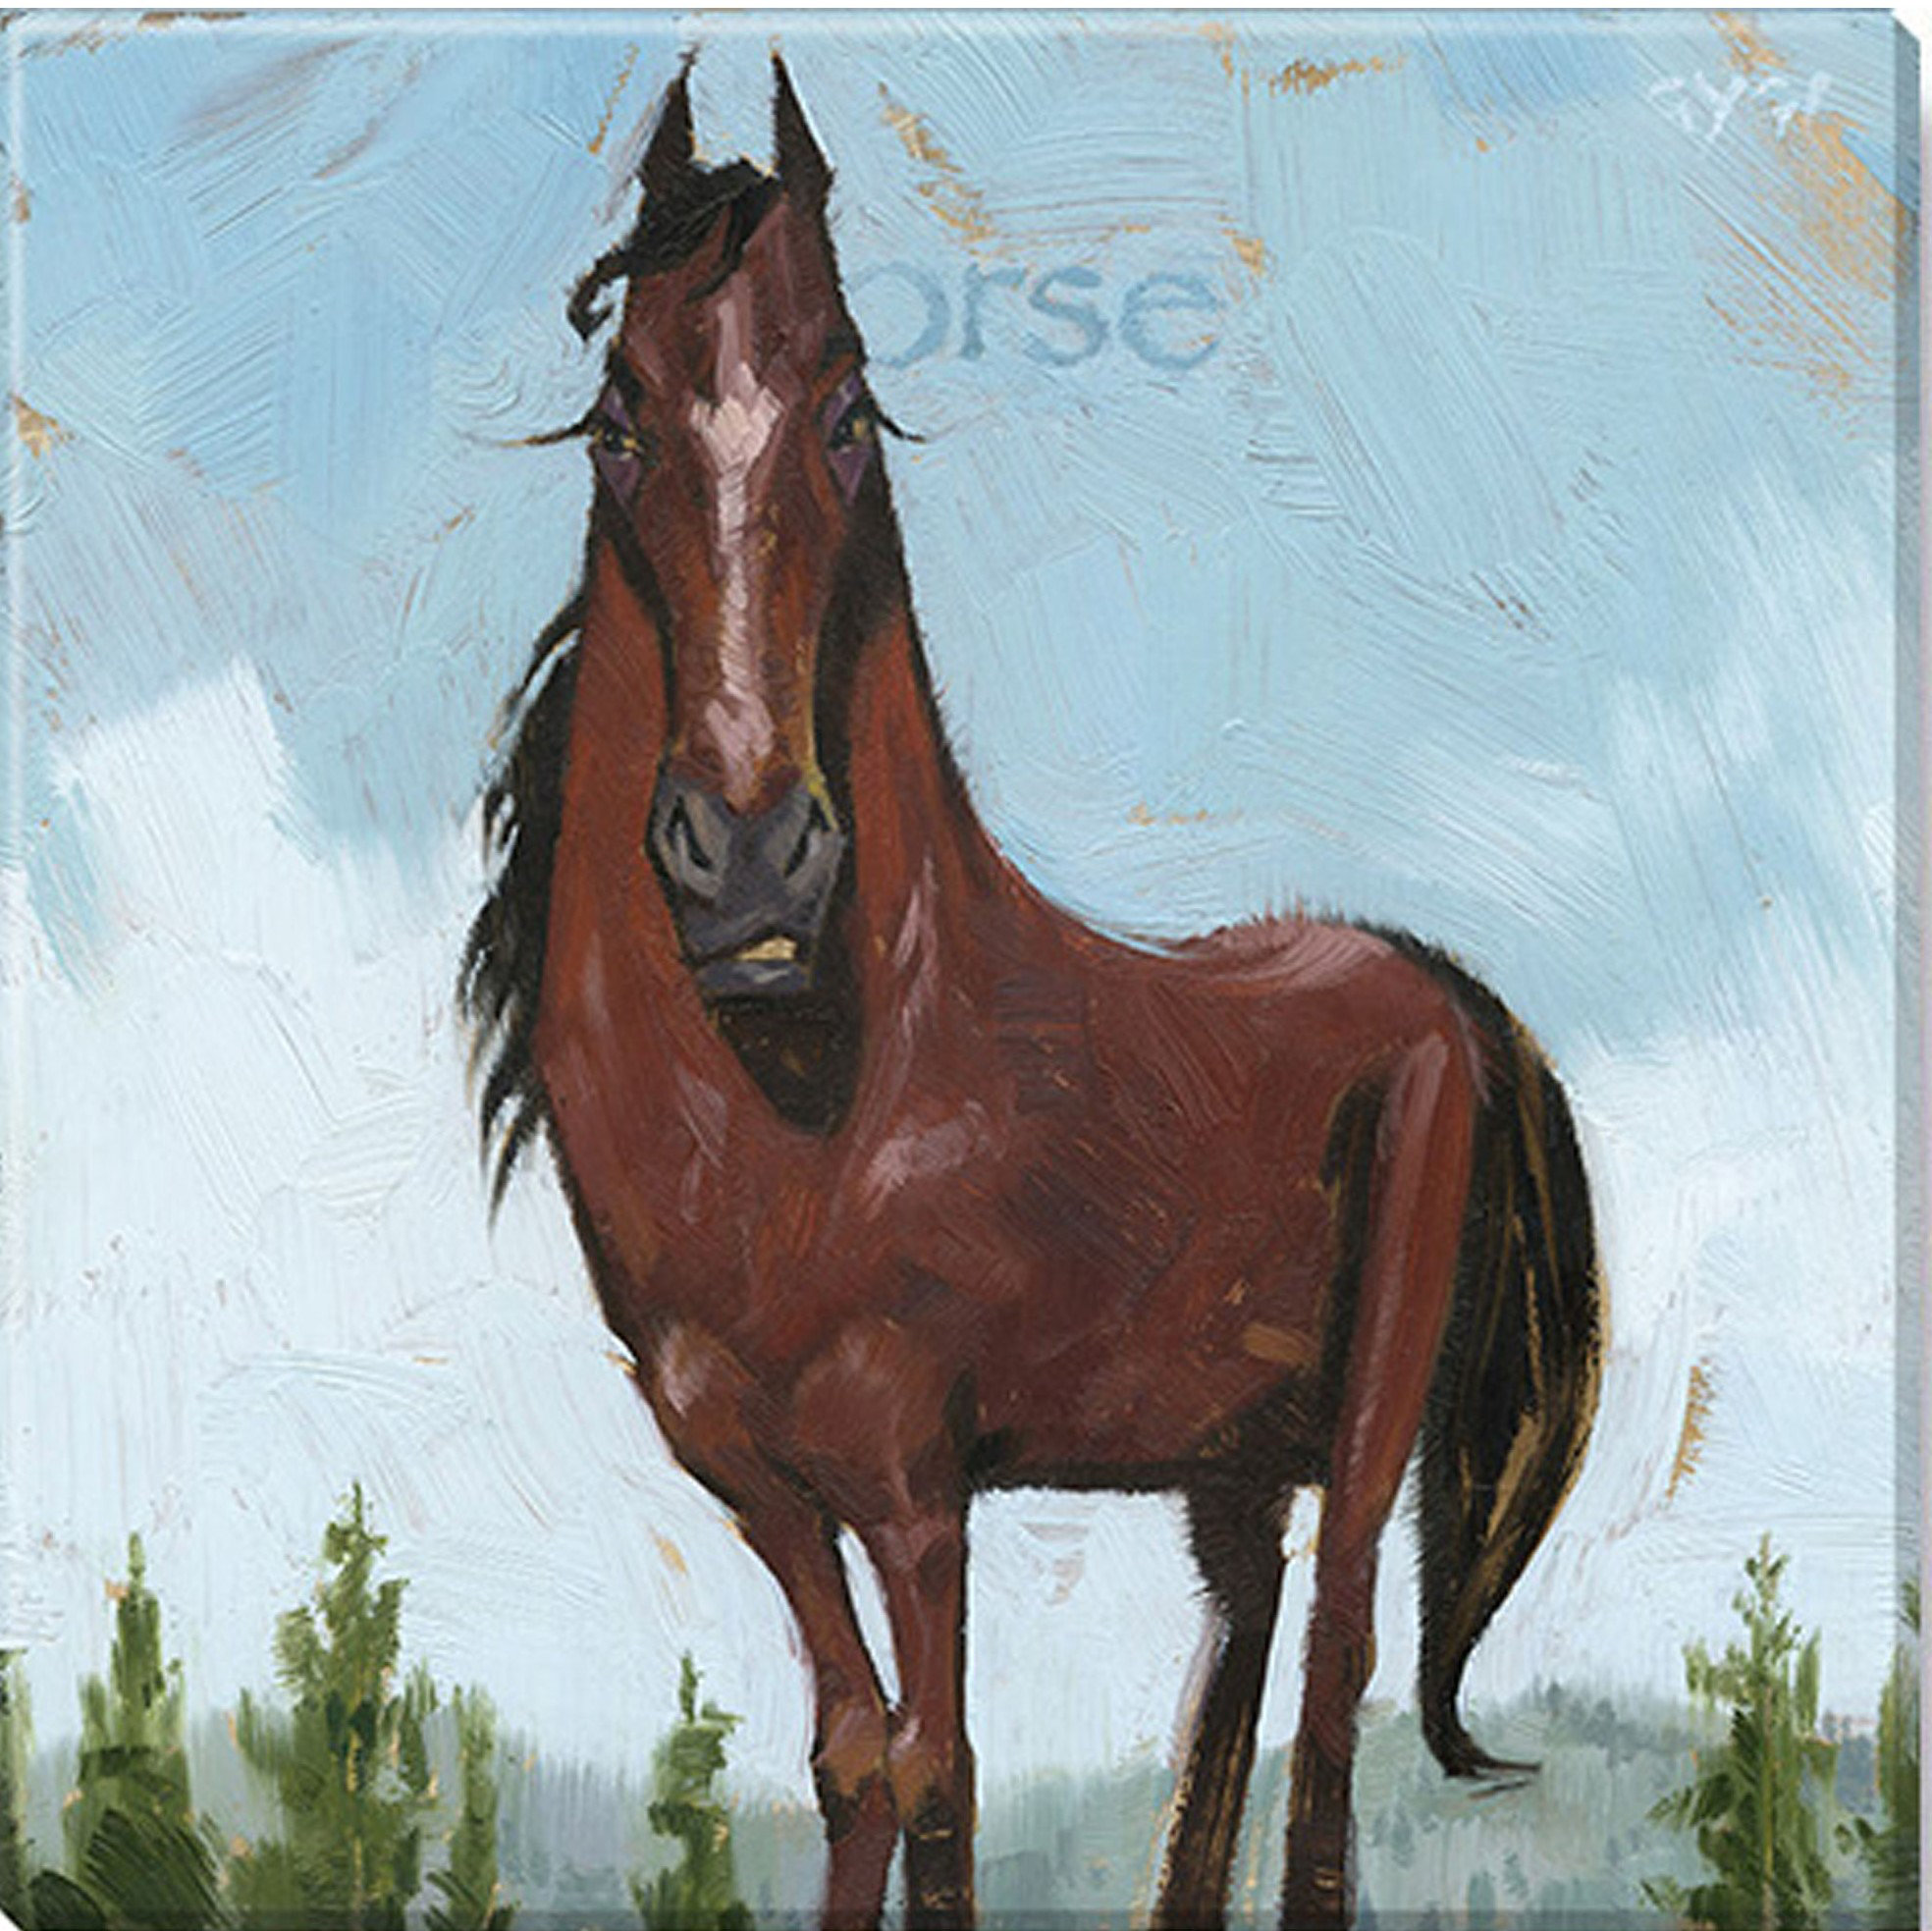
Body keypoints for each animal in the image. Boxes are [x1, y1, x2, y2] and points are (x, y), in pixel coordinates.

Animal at [460, 57, 1604, 1931]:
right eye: (617, 423)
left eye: (849, 411)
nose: (752, 856)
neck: (817, 1103)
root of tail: (1439, 988)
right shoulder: (768, 1493)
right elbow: (854, 1760)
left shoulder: (918, 1487)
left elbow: (941, 1774)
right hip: (1229, 1458)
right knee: (1230, 1677)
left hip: (1368, 1429)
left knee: (1337, 1677)